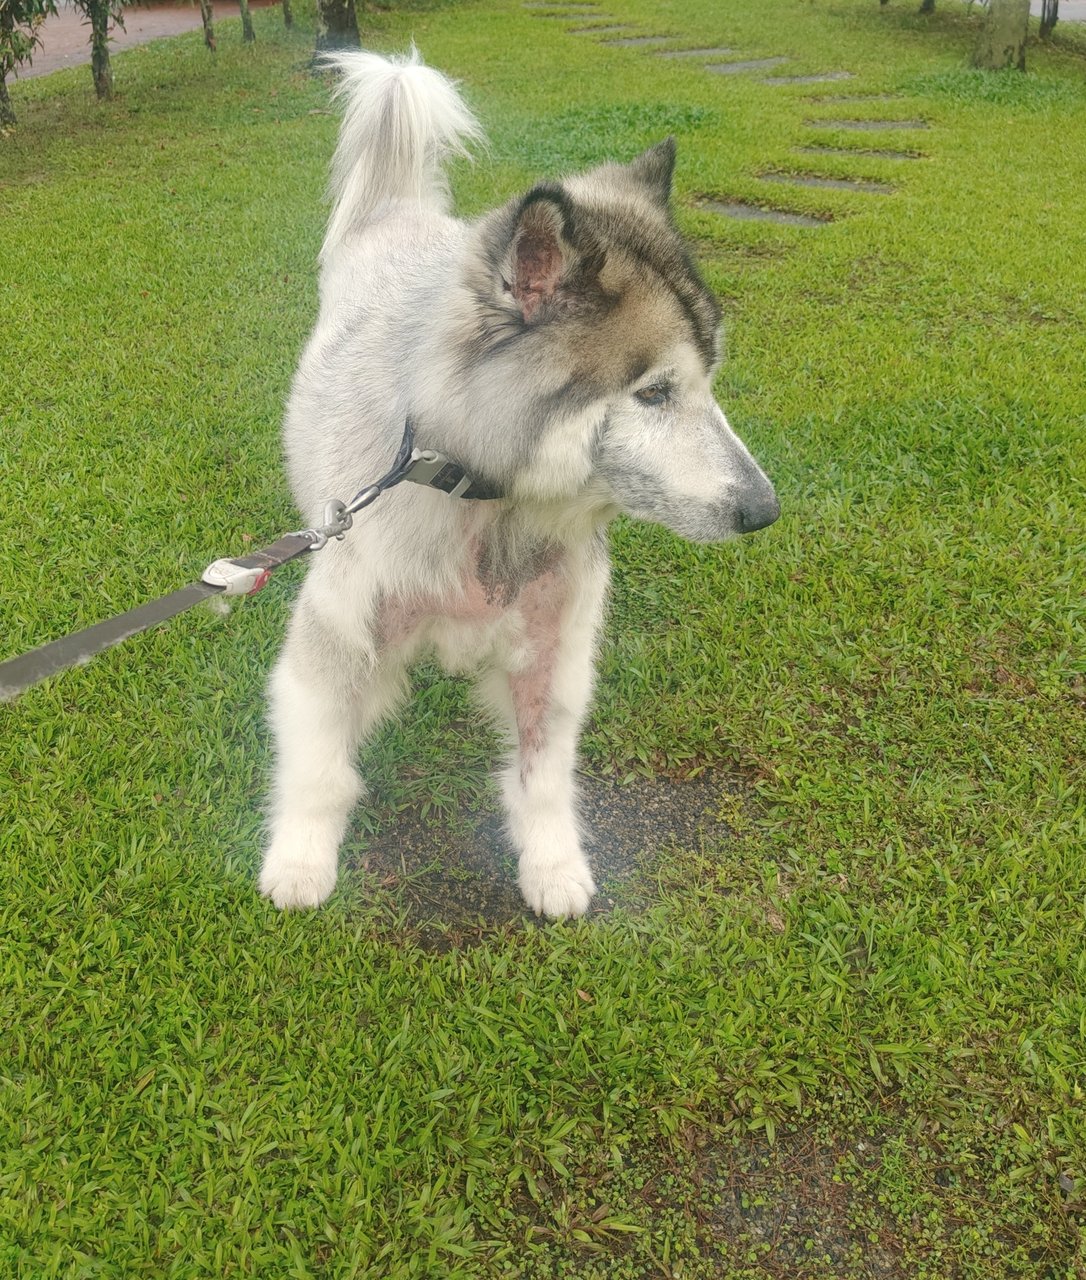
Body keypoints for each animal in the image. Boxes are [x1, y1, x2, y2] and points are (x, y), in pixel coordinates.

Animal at [258, 45, 778, 916]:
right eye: (654, 393)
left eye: (710, 378)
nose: (765, 510)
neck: (485, 505)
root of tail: (401, 215)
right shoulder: (333, 641)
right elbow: (322, 767)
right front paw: (299, 861)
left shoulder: (554, 654)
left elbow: (543, 777)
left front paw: (552, 865)